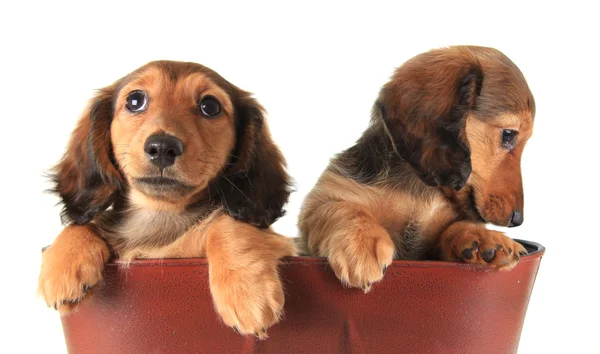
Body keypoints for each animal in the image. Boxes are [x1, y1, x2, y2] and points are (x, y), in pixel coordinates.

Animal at [38, 60, 296, 338]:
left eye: (210, 106)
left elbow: (227, 223)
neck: (160, 213)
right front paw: (63, 269)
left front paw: (247, 293)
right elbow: (82, 223)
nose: (162, 147)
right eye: (135, 100)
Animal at [298, 45, 536, 292]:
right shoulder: (323, 198)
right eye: (509, 134)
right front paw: (361, 244)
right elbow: (342, 208)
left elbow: (454, 228)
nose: (518, 219)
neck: (420, 190)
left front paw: (484, 239)